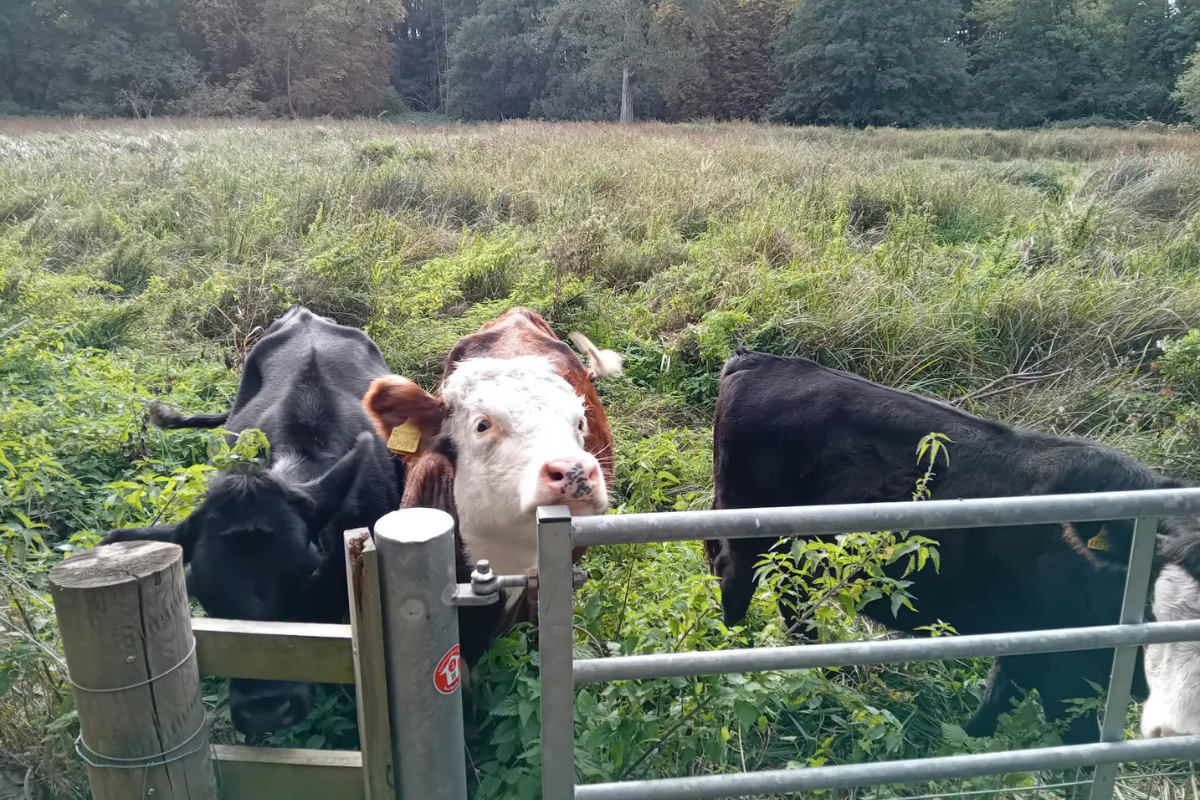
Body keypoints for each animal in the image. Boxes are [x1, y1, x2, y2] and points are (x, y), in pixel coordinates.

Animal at [705, 349, 1200, 745]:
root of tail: (754, 358)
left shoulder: (1029, 640)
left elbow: (997, 698)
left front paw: (968, 739)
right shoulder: (1064, 667)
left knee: (792, 598)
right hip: (753, 535)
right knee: (737, 582)